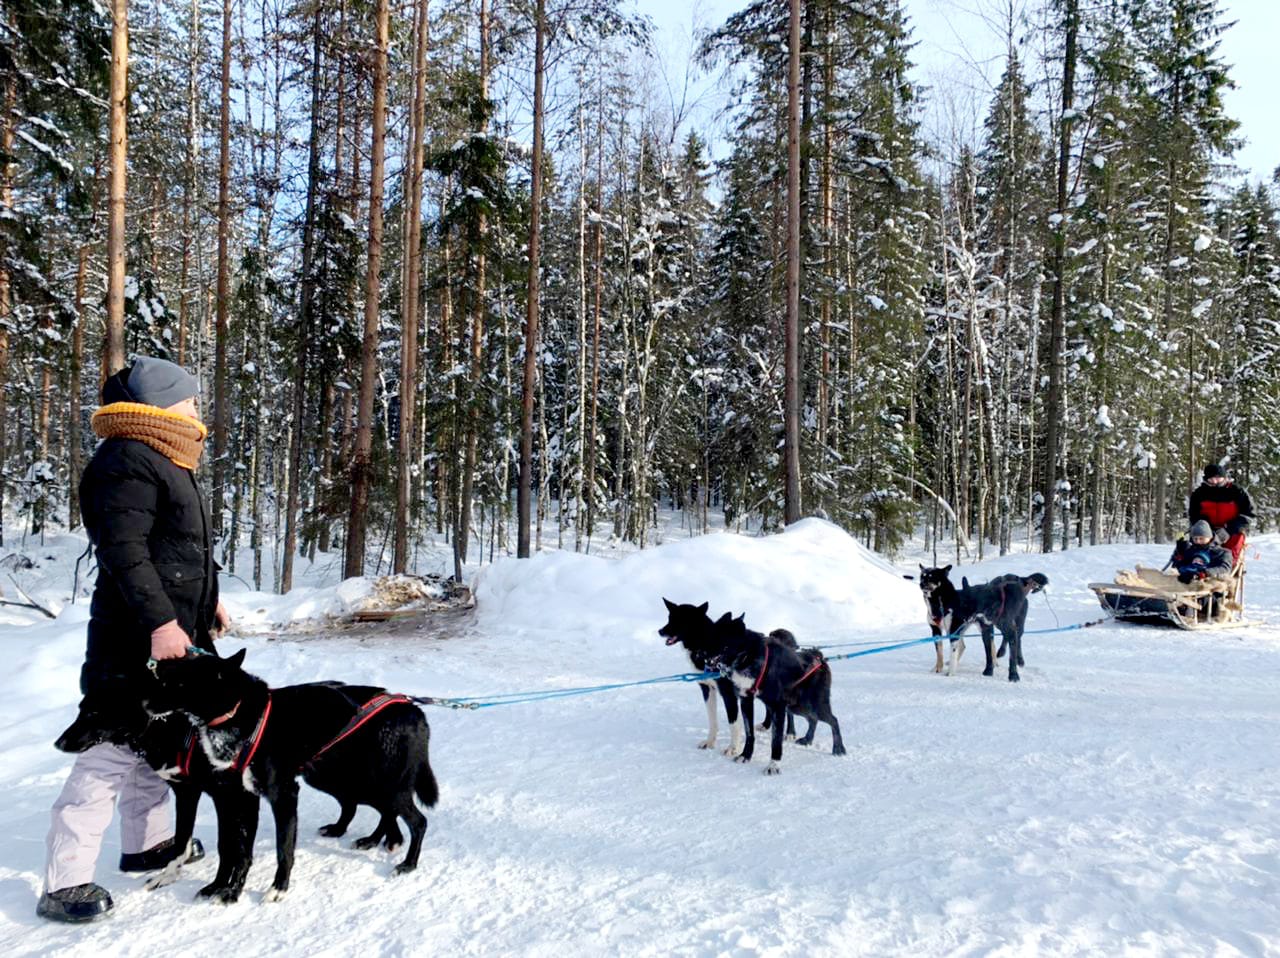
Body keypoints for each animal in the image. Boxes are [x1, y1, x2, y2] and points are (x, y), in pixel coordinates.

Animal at [145, 648, 440, 901]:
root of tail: (415, 710)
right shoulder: (243, 797)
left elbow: (281, 849)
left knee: (418, 821)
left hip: (382, 784)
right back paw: (368, 836)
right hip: (338, 779)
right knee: (364, 805)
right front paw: (231, 890)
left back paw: (407, 862)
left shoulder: (280, 796)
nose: (144, 702)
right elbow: (241, 849)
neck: (243, 716)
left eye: (177, 682)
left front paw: (278, 888)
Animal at [706, 617, 844, 773]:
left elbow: (776, 740)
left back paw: (838, 748)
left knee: (833, 720)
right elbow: (749, 734)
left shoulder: (778, 707)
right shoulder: (746, 701)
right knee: (813, 719)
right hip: (796, 707)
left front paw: (773, 765)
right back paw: (807, 739)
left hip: (813, 704)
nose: (701, 655)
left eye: (719, 637)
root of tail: (818, 656)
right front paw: (745, 756)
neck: (749, 657)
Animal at [916, 568, 1044, 681]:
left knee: (1016, 638)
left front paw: (1013, 676)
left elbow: (1010, 656)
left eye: (931, 577)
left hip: (1016, 625)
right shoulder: (982, 630)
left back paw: (1017, 659)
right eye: (922, 577)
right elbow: (987, 654)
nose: (921, 584)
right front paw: (988, 671)